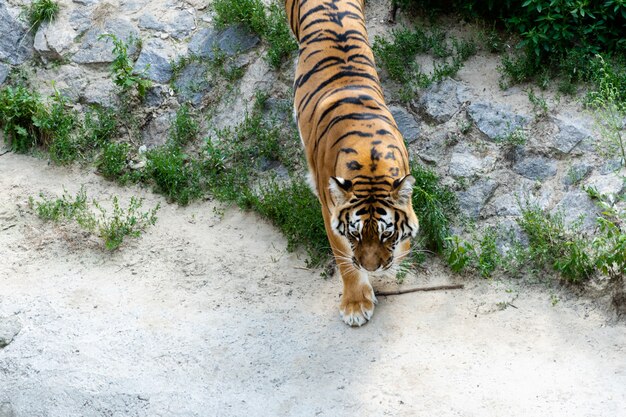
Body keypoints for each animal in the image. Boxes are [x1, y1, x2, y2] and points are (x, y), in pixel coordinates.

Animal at [286, 0, 416, 324]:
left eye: (387, 233)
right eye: (355, 233)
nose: (372, 268)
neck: (371, 165)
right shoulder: (329, 210)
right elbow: (345, 260)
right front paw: (356, 305)